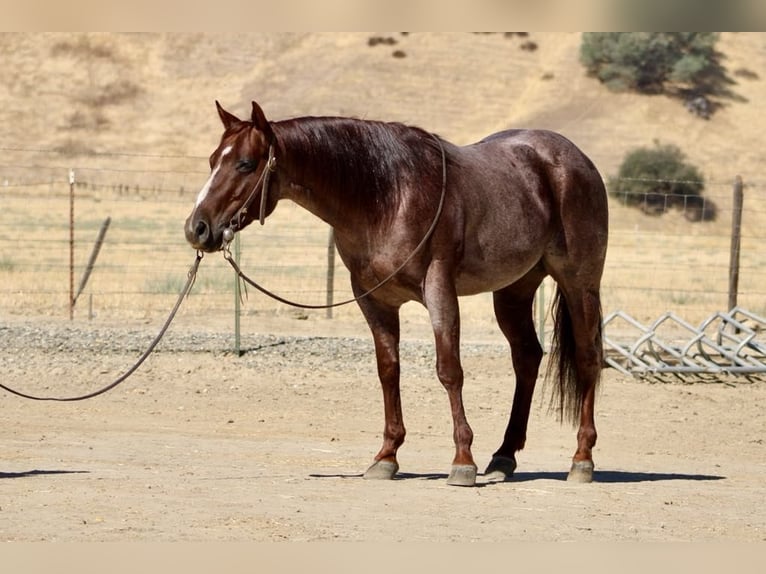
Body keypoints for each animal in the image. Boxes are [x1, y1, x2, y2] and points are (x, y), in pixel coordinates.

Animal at [185, 100, 609, 486]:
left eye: (245, 164)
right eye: (212, 160)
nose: (197, 228)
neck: (388, 196)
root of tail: (576, 160)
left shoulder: (439, 291)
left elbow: (449, 370)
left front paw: (463, 460)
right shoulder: (374, 300)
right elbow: (389, 371)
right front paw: (386, 457)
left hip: (579, 284)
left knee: (588, 359)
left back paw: (581, 460)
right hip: (514, 291)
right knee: (527, 357)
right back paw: (503, 457)